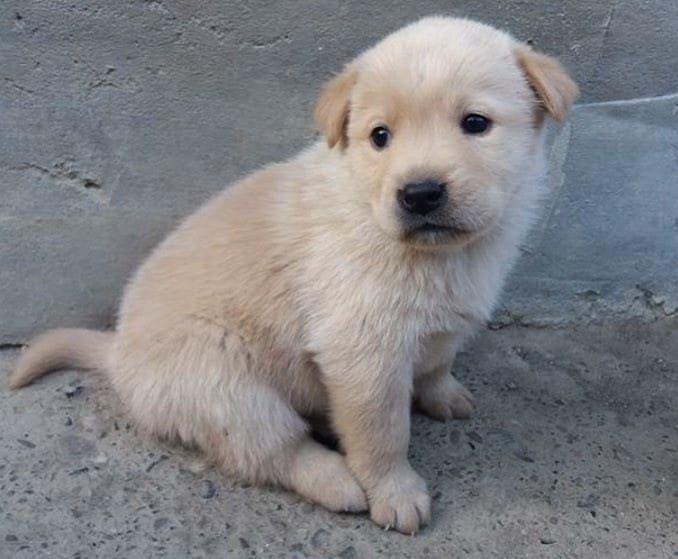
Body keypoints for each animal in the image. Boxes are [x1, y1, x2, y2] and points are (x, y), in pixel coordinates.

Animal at [7, 17, 580, 532]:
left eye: (476, 123)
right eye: (380, 136)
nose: (419, 193)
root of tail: (117, 355)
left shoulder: (445, 320)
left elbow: (438, 362)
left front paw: (446, 396)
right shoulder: (363, 354)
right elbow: (382, 434)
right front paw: (394, 493)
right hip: (226, 384)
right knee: (271, 450)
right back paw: (337, 479)